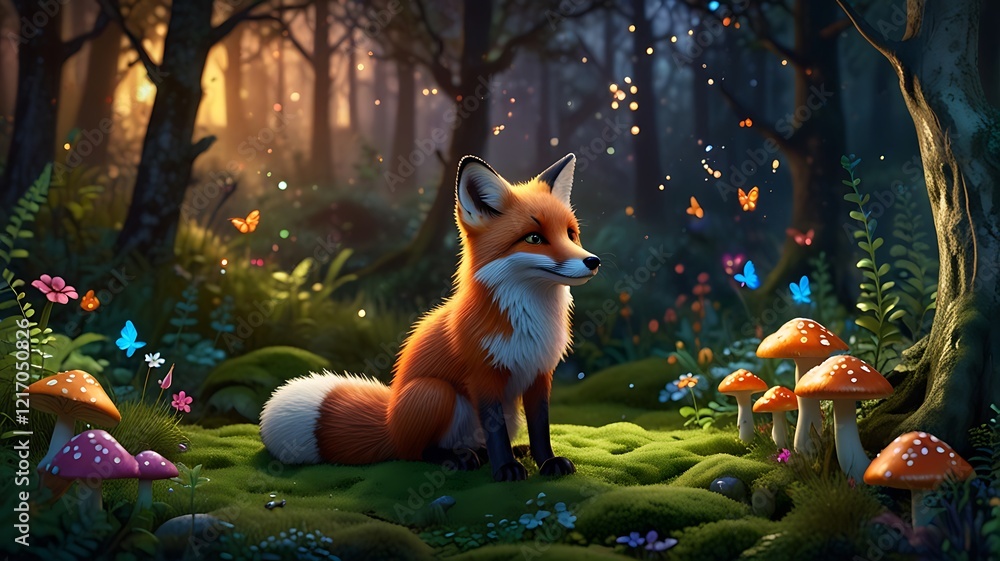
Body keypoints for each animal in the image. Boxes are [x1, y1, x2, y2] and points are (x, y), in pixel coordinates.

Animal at [259, 153, 600, 481]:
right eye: (534, 238)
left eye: (571, 234)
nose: (593, 261)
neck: (529, 322)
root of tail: (390, 420)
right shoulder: (483, 376)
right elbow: (496, 434)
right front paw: (506, 470)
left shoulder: (540, 374)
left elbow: (541, 428)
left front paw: (547, 462)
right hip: (434, 393)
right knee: (416, 451)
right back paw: (458, 458)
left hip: (504, 410)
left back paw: (500, 451)